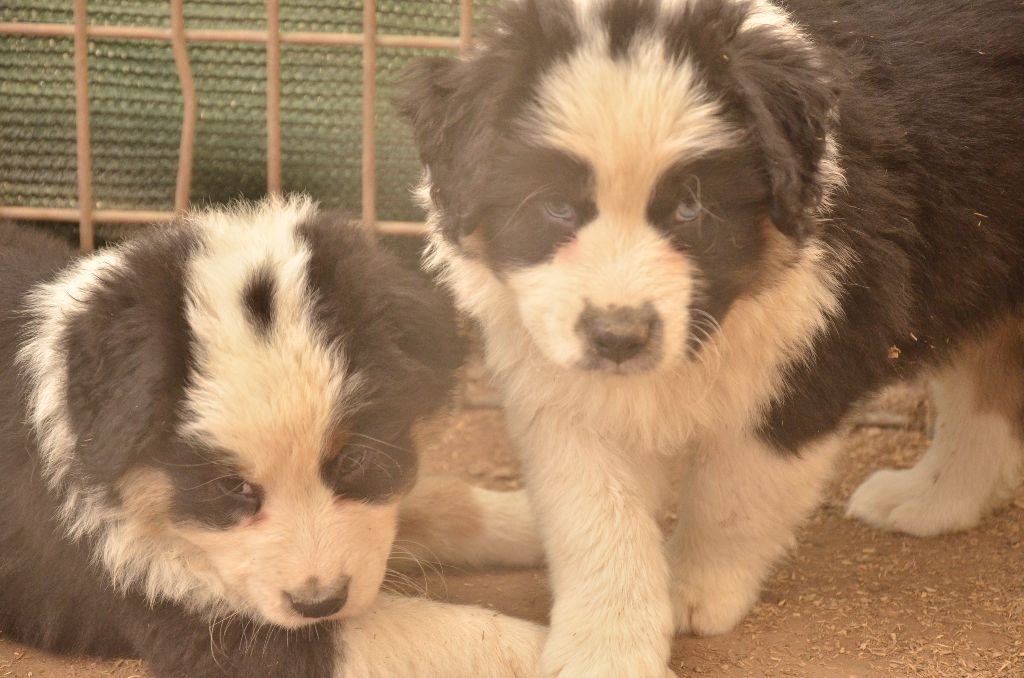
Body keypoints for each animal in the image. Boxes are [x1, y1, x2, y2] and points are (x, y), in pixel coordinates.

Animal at [0, 197, 545, 678]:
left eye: (353, 460)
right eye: (230, 488)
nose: (320, 603)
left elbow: (447, 503)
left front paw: (538, 522)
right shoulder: (204, 627)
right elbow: (458, 635)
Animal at [397, 0, 1024, 675]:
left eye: (690, 208)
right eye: (555, 208)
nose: (618, 337)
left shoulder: (804, 361)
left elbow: (734, 493)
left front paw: (689, 590)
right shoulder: (558, 376)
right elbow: (593, 515)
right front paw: (605, 646)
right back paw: (933, 499)